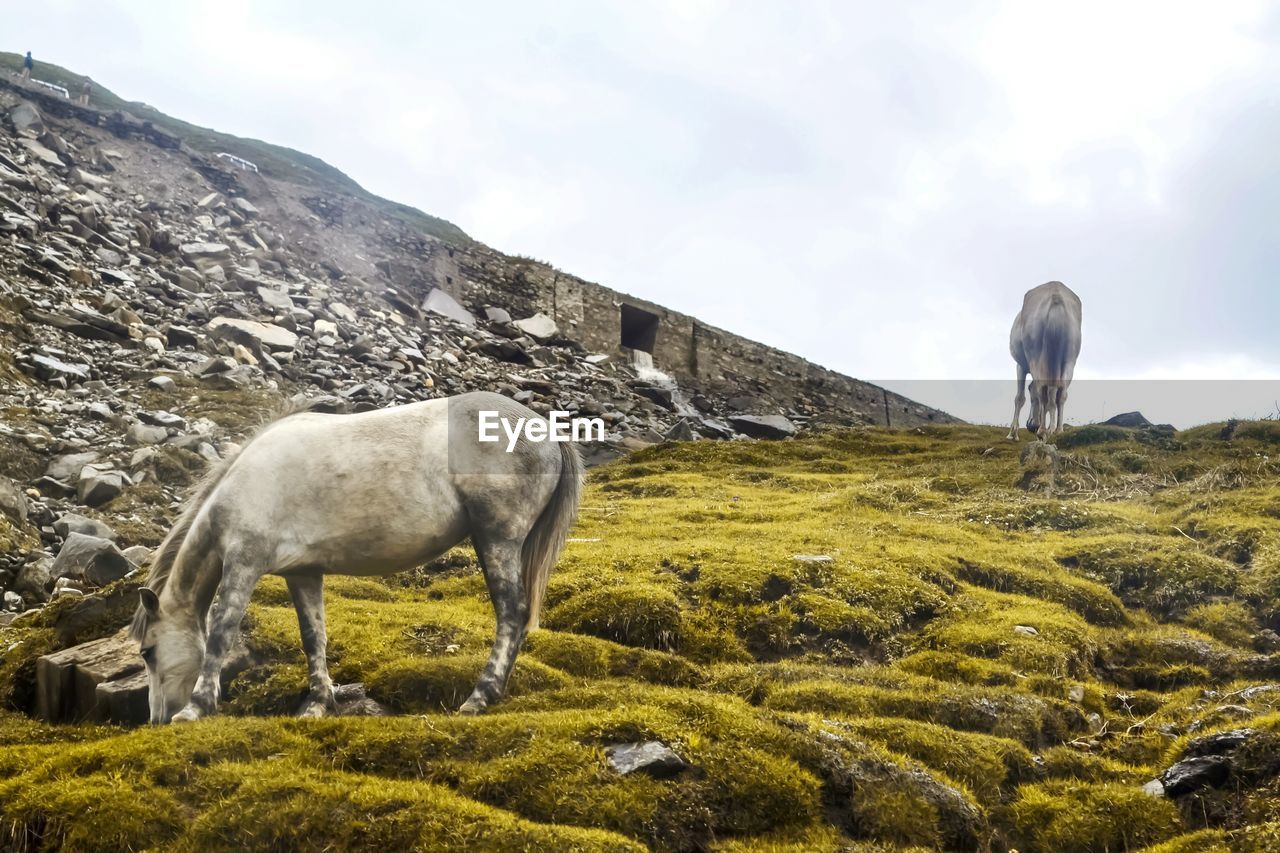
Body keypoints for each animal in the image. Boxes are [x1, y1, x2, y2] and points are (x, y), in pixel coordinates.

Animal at [132, 389, 583, 722]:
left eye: (147, 652)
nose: (156, 718)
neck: (245, 481)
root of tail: (543, 427)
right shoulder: (303, 573)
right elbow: (313, 636)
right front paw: (317, 704)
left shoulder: (244, 561)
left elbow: (222, 629)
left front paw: (195, 709)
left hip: (497, 538)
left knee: (511, 613)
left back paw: (480, 698)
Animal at [1008, 280, 1080, 438]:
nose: (1030, 426)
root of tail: (1056, 297)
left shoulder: (1020, 366)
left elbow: (1020, 397)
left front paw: (1013, 433)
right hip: (1069, 362)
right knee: (1061, 393)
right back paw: (1057, 429)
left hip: (1037, 358)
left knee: (1044, 390)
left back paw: (1043, 430)